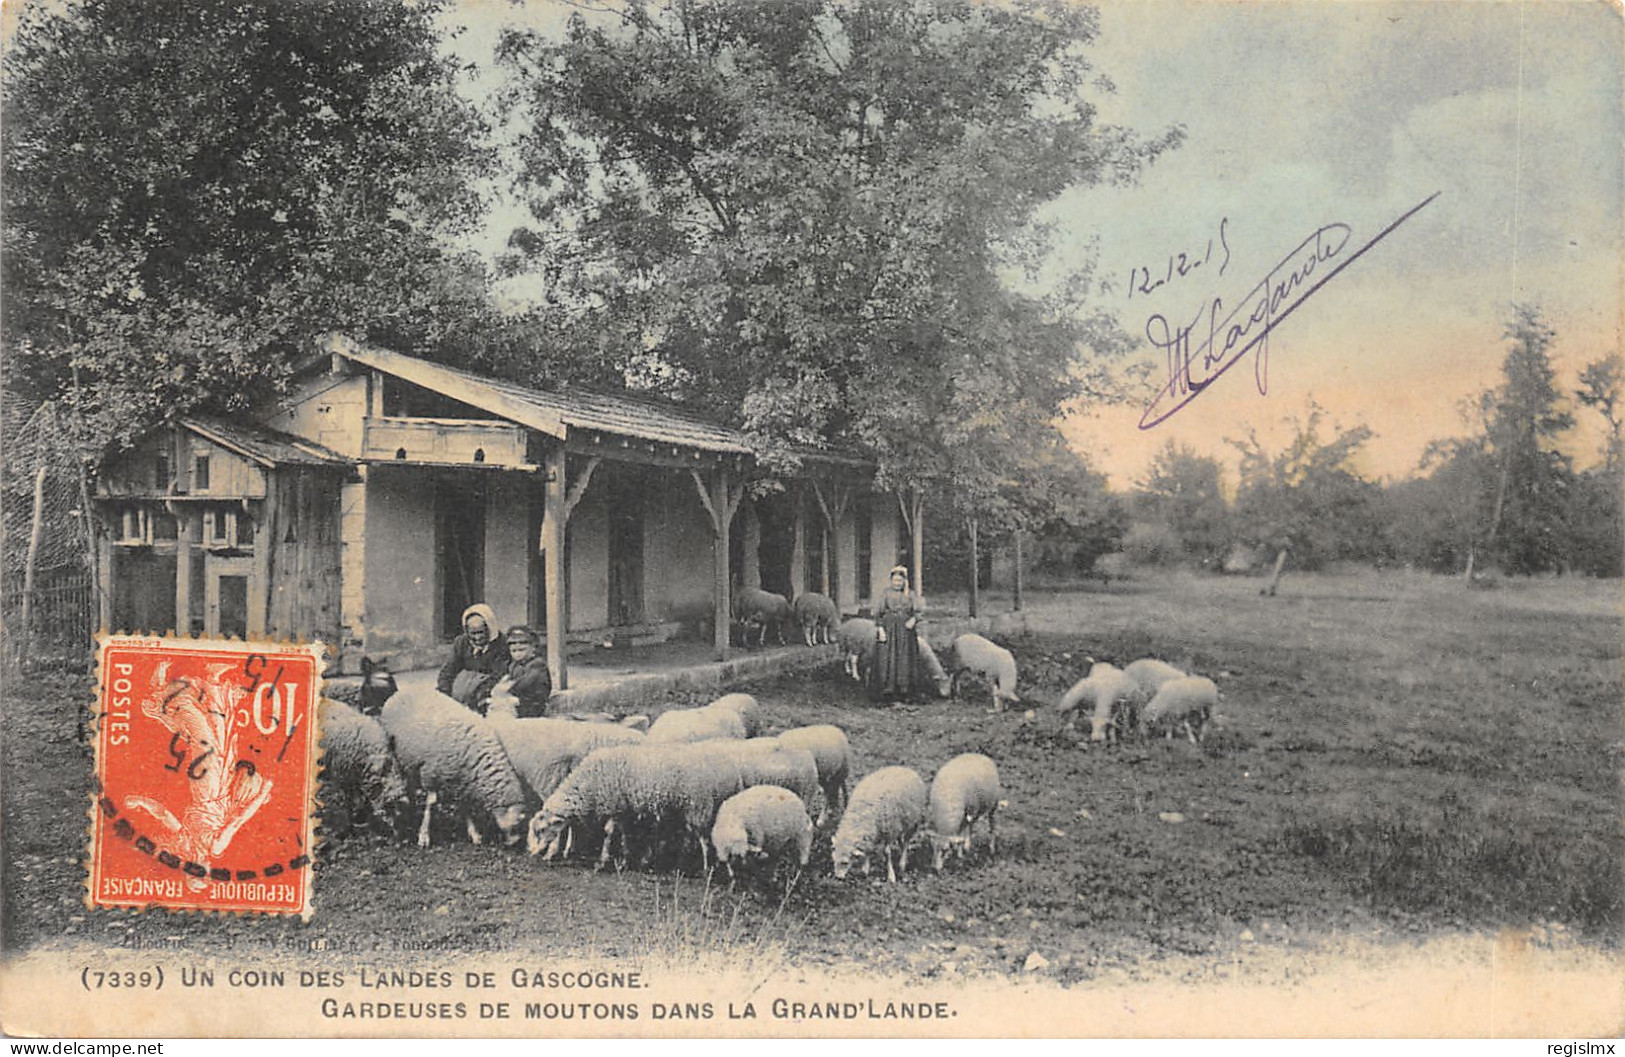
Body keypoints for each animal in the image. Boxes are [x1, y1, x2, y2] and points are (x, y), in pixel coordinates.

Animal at [315, 695, 406, 832]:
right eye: (389, 805)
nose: (397, 833)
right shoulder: (343, 777)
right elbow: (348, 802)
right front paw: (350, 823)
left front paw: (362, 814)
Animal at [373, 682, 526, 845]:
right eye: (517, 823)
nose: (515, 842)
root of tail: (402, 691)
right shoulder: (430, 775)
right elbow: (431, 805)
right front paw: (424, 835)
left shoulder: (462, 779)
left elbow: (465, 806)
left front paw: (474, 833)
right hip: (400, 759)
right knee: (408, 785)